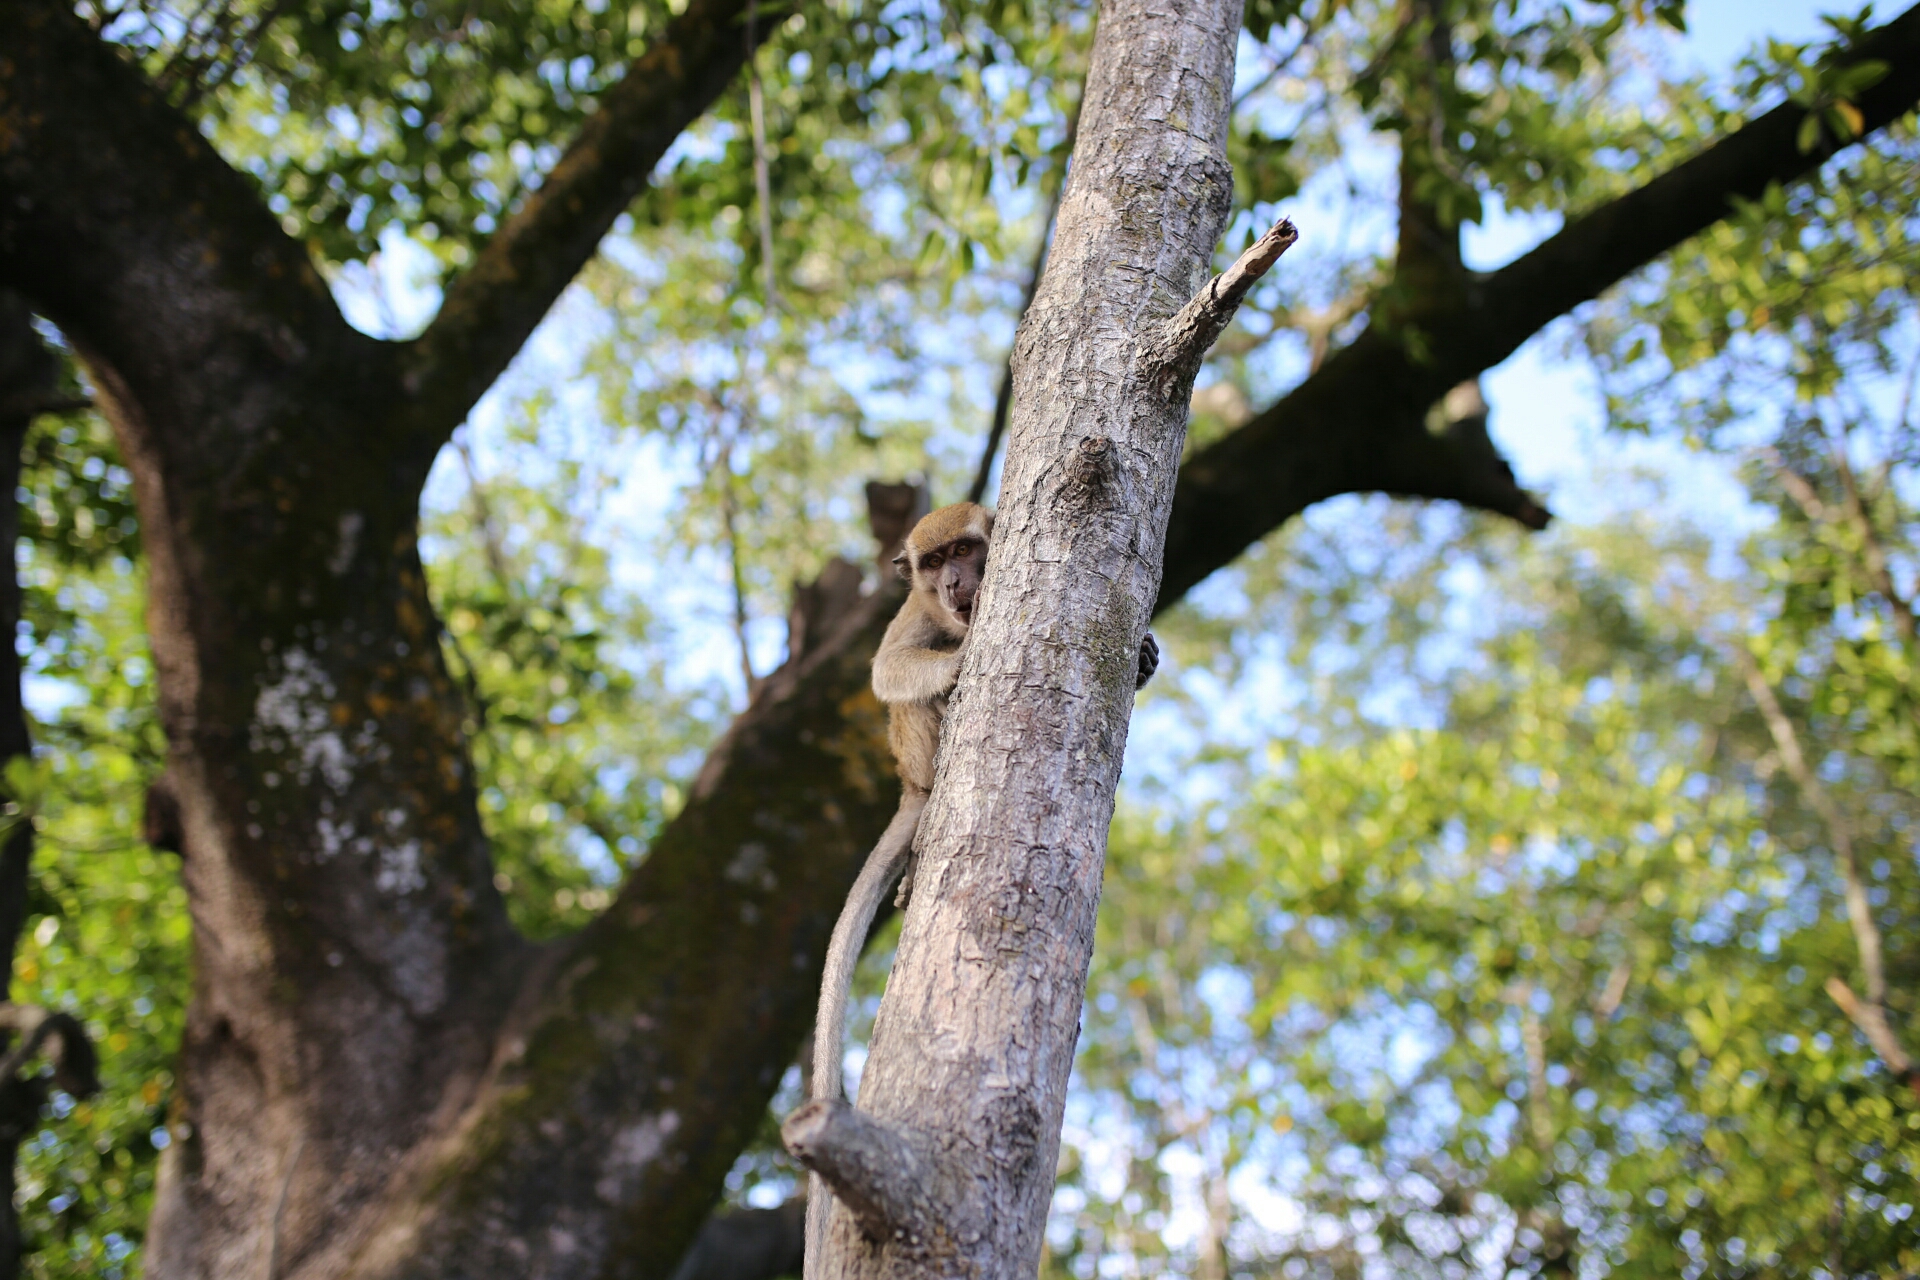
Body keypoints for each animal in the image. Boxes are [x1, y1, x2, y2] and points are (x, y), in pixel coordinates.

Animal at [791, 506, 1152, 1266]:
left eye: (964, 549)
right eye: (933, 564)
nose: (957, 582)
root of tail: (911, 782)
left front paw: (1145, 657)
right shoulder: (913, 612)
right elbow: (888, 669)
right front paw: (958, 659)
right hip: (917, 744)